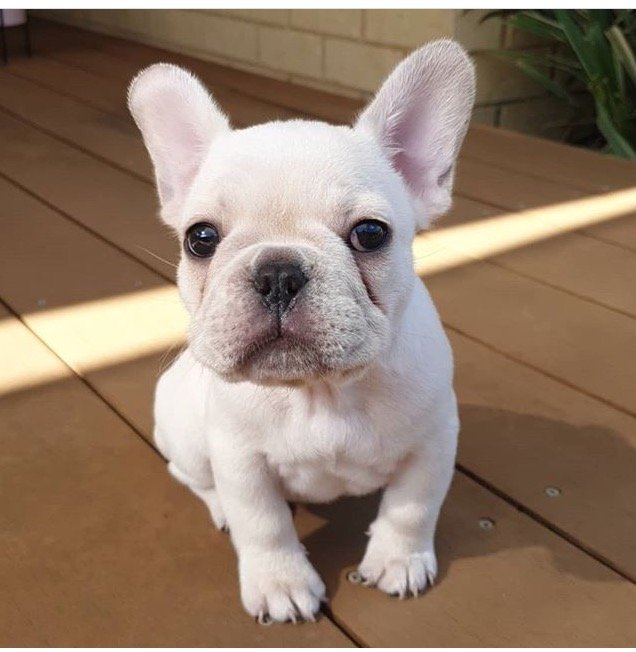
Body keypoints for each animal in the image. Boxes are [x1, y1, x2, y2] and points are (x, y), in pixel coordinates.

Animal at [128, 39, 475, 624]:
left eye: (370, 233)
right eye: (200, 239)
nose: (277, 272)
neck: (319, 392)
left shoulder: (433, 439)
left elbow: (412, 505)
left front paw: (398, 560)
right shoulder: (240, 460)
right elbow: (262, 523)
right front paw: (280, 582)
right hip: (185, 436)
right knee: (193, 478)